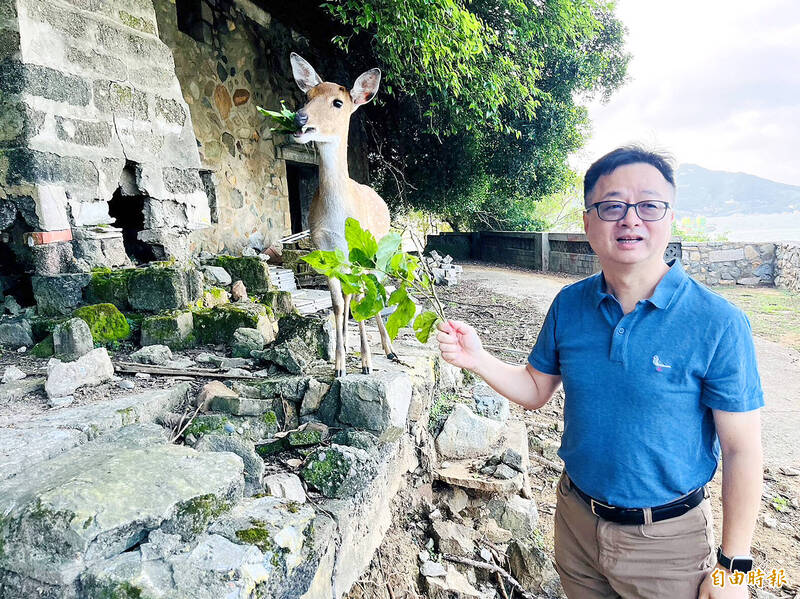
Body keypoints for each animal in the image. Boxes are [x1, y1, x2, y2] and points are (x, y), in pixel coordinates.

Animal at [290, 54, 398, 378]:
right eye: (308, 96)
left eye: (338, 102)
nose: (299, 118)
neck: (337, 217)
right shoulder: (325, 251)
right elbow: (338, 303)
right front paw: (339, 366)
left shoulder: (360, 253)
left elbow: (361, 297)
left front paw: (366, 364)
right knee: (352, 296)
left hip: (379, 254)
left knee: (374, 290)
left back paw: (389, 350)